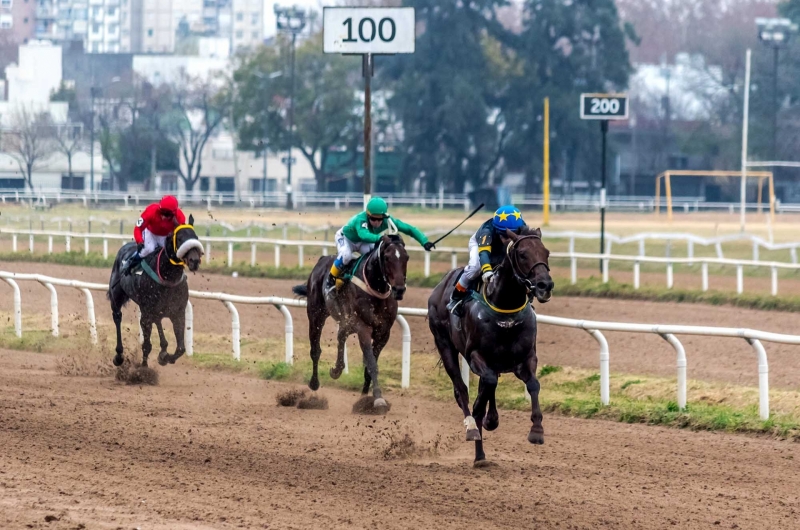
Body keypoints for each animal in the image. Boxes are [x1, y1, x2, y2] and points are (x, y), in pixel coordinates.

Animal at [107, 216, 203, 368]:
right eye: (179, 238)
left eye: (195, 237)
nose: (194, 260)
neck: (168, 277)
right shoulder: (146, 313)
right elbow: (146, 345)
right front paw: (144, 368)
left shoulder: (178, 313)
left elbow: (181, 348)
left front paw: (165, 357)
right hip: (116, 297)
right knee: (117, 317)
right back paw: (119, 355)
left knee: (157, 321)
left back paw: (163, 349)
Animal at [292, 233, 410, 410]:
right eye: (387, 257)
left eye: (406, 257)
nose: (399, 289)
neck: (375, 290)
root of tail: (322, 259)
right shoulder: (363, 328)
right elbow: (372, 364)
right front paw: (378, 399)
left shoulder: (383, 333)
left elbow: (369, 365)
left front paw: (365, 397)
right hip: (315, 315)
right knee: (315, 350)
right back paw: (314, 383)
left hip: (345, 320)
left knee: (341, 335)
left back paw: (337, 369)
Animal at [428, 227, 552, 462]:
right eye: (522, 254)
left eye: (546, 252)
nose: (545, 285)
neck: (506, 311)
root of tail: (440, 285)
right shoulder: (476, 356)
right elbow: (484, 388)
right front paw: (480, 418)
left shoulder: (526, 357)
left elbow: (533, 384)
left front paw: (537, 431)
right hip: (444, 343)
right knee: (462, 389)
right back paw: (472, 429)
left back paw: (481, 450)